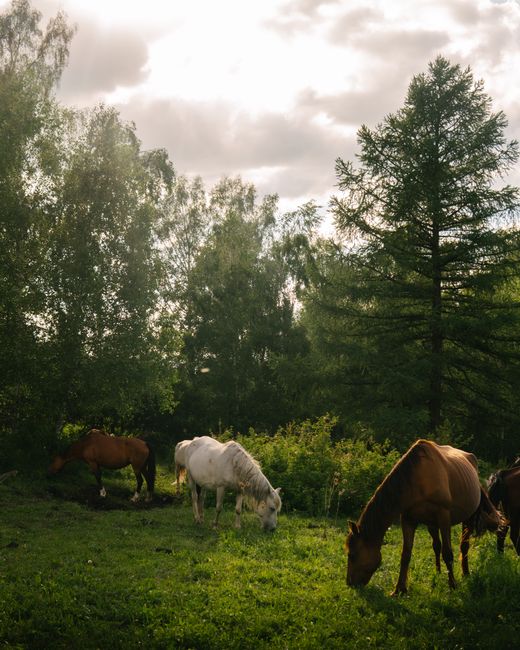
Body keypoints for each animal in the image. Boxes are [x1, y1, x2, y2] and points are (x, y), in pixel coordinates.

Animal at [345, 439, 502, 595]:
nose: (349, 583)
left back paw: (466, 573)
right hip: (431, 524)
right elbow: (406, 554)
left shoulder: (444, 517)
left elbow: (448, 553)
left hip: (468, 517)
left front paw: (452, 585)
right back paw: (438, 572)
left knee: (464, 546)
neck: (418, 479)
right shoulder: (408, 519)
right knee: (436, 546)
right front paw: (399, 589)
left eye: (352, 554)